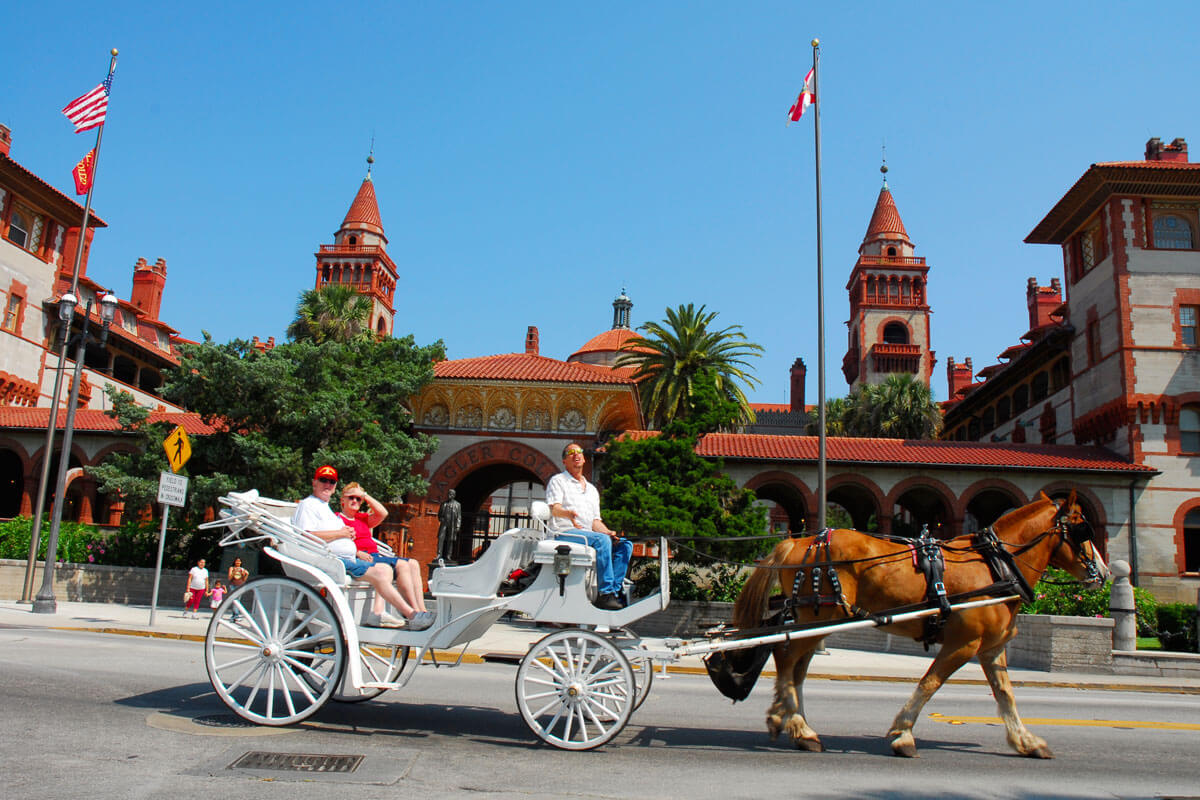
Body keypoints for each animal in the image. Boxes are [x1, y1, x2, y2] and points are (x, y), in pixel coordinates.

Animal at [729, 491, 1104, 762]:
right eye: (1082, 529)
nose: (1102, 572)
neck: (996, 566)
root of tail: (799, 541)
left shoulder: (991, 647)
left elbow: (1005, 695)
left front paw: (1026, 741)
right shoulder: (964, 643)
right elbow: (929, 684)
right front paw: (902, 734)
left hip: (816, 620)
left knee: (795, 667)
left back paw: (793, 722)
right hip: (818, 617)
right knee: (786, 659)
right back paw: (795, 724)